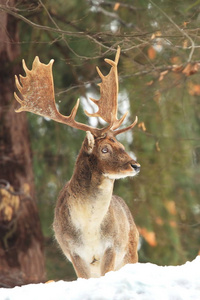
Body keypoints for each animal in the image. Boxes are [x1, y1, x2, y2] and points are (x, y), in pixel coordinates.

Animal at [14, 46, 141, 278]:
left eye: (121, 145)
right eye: (105, 149)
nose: (135, 165)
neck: (89, 228)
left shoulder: (111, 247)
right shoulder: (73, 252)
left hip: (131, 249)